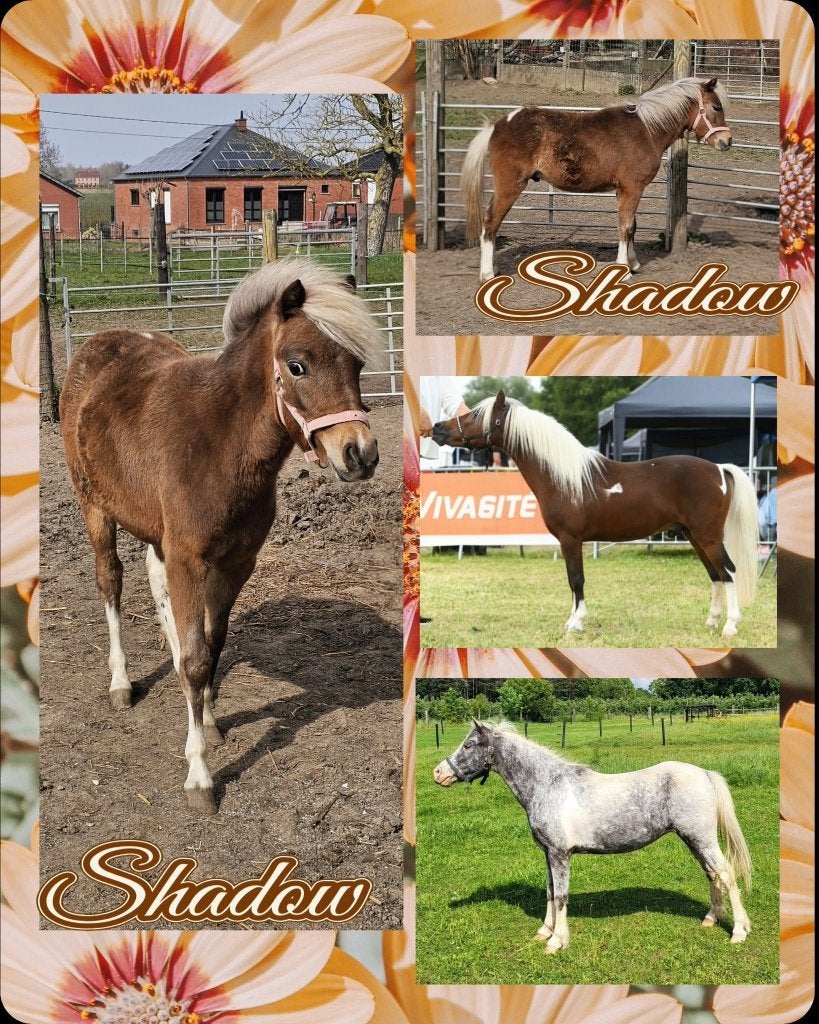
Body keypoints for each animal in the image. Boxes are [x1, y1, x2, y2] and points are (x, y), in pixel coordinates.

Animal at [60, 258, 382, 814]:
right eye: (297, 365)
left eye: (357, 365)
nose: (359, 454)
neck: (220, 441)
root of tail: (96, 344)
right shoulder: (190, 559)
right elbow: (195, 661)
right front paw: (199, 776)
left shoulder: (235, 563)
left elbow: (211, 645)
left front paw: (208, 720)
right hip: (95, 508)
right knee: (111, 582)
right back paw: (121, 682)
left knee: (156, 582)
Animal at [431, 391, 758, 637]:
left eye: (474, 416)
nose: (437, 428)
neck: (563, 476)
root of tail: (719, 469)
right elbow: (572, 580)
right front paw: (572, 619)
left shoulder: (571, 539)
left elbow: (576, 579)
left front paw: (576, 623)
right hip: (694, 536)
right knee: (715, 575)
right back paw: (712, 621)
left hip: (708, 536)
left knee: (728, 572)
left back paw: (730, 626)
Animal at [434, 720, 752, 953]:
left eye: (468, 744)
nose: (438, 773)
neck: (548, 785)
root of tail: (704, 773)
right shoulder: (548, 854)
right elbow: (550, 892)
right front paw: (544, 931)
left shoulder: (560, 854)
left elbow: (561, 896)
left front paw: (556, 942)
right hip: (694, 840)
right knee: (712, 874)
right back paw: (711, 919)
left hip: (701, 838)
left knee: (726, 874)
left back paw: (738, 931)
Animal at [461, 76, 732, 282]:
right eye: (716, 107)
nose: (727, 141)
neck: (646, 129)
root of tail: (497, 125)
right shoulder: (631, 189)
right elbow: (625, 228)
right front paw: (624, 270)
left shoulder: (626, 190)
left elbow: (632, 227)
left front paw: (633, 264)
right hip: (510, 186)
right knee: (490, 223)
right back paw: (487, 273)